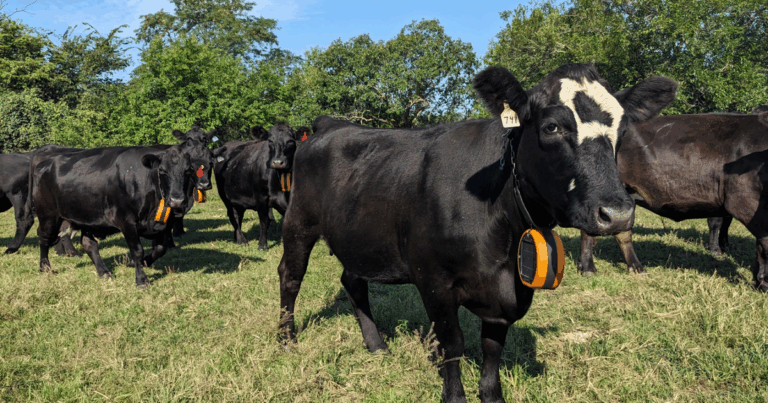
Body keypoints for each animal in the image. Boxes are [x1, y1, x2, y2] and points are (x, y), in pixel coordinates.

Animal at [29, 136, 210, 287]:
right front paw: (141, 279)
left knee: (89, 244)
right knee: (43, 238)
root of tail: (44, 163)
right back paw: (45, 268)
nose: (177, 200)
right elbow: (137, 250)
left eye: (188, 171)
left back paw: (104, 272)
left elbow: (160, 249)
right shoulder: (127, 221)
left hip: (87, 217)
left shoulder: (165, 224)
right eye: (162, 171)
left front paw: (139, 263)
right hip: (48, 215)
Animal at [276, 64, 677, 402]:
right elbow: (453, 343)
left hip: (359, 236)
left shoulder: (509, 289)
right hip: (298, 222)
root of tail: (332, 124)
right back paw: (286, 339)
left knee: (353, 280)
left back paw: (376, 345)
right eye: (552, 127)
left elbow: (492, 347)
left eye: (622, 131)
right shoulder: (433, 281)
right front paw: (454, 396)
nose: (618, 213)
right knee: (290, 276)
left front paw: (491, 395)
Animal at [578, 109, 768, 292]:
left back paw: (637, 268)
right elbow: (763, 245)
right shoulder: (744, 202)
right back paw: (588, 268)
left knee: (622, 233)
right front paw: (763, 282)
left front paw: (758, 280)